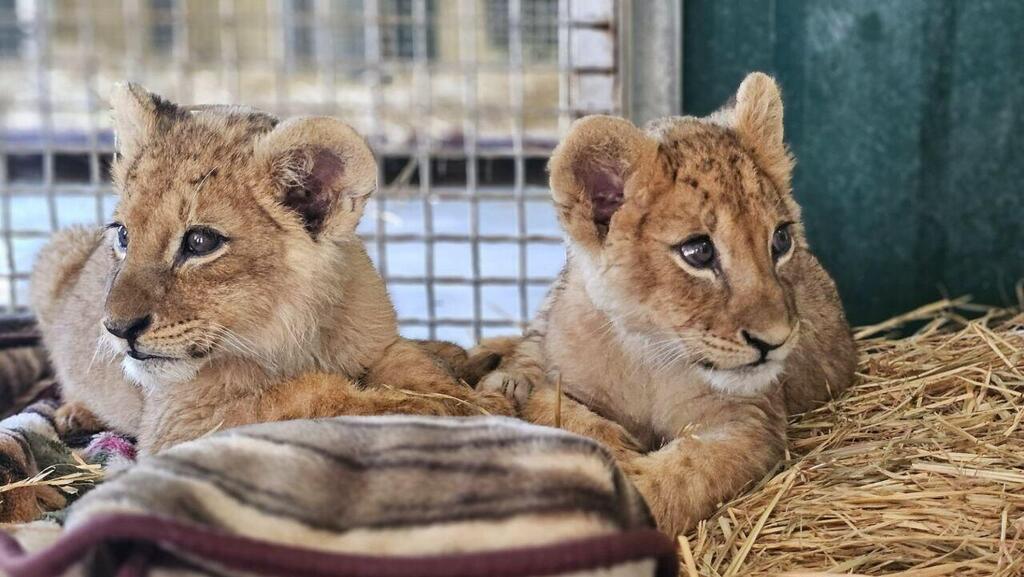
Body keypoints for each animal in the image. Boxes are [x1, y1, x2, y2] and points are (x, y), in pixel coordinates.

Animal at [30, 83, 512, 455]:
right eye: (124, 235)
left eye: (200, 242)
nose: (116, 329)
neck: (288, 329)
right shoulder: (182, 421)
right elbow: (309, 399)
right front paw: (432, 409)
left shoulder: (380, 344)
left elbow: (416, 365)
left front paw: (473, 399)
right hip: (55, 253)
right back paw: (75, 412)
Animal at [476, 72, 858, 536]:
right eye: (698, 252)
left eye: (781, 240)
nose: (776, 341)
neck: (648, 354)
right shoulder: (563, 384)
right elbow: (555, 407)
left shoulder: (748, 421)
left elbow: (685, 474)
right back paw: (505, 381)